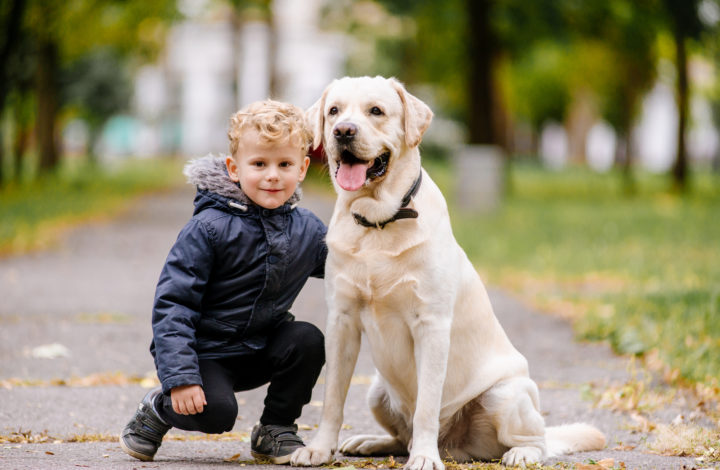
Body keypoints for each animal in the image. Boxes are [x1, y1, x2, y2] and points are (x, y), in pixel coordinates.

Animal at [290, 75, 604, 468]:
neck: (380, 221)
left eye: (376, 111)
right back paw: (372, 441)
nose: (343, 131)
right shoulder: (341, 321)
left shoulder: (432, 325)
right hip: (376, 390)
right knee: (401, 437)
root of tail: (453, 446)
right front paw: (319, 448)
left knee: (538, 441)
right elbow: (332, 397)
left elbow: (427, 404)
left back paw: (516, 452)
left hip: (506, 394)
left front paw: (425, 458)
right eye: (334, 111)